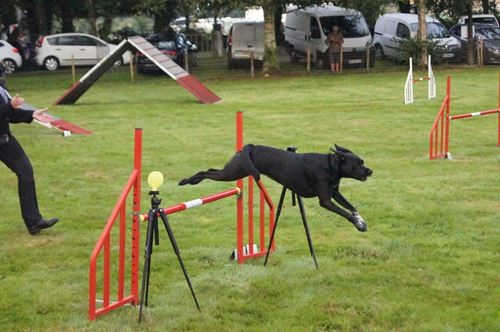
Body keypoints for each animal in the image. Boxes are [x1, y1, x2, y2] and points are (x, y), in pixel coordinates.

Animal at [179, 144, 372, 232]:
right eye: (358, 164)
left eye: (362, 161)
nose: (370, 171)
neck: (330, 166)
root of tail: (249, 146)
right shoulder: (325, 200)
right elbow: (345, 212)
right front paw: (358, 224)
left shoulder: (335, 193)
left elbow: (351, 207)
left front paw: (360, 219)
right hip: (234, 172)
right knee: (206, 172)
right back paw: (188, 180)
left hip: (234, 170)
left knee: (211, 170)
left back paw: (192, 180)